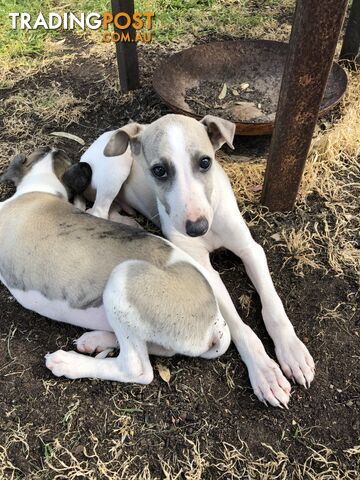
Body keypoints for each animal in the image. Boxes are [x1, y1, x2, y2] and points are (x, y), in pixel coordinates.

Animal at [0, 148, 231, 384]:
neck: (41, 185)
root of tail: (217, 321)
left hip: (124, 277)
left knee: (135, 368)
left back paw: (70, 363)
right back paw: (97, 340)